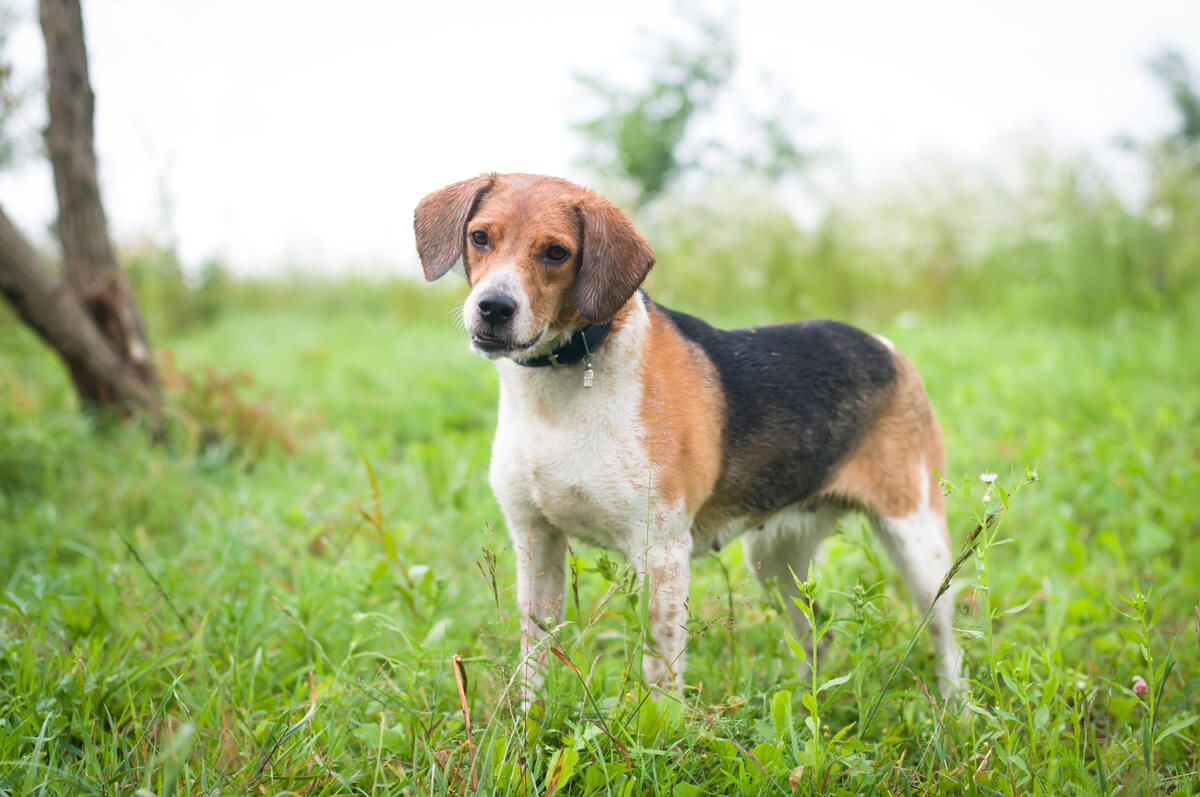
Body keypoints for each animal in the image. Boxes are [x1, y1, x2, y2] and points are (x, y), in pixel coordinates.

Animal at [417, 172, 960, 696]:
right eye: (479, 237)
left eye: (556, 252)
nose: (493, 307)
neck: (562, 382)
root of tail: (887, 348)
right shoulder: (535, 539)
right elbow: (534, 663)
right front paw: (528, 723)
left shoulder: (662, 551)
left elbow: (661, 678)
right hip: (773, 558)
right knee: (818, 636)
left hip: (918, 542)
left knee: (946, 640)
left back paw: (953, 710)